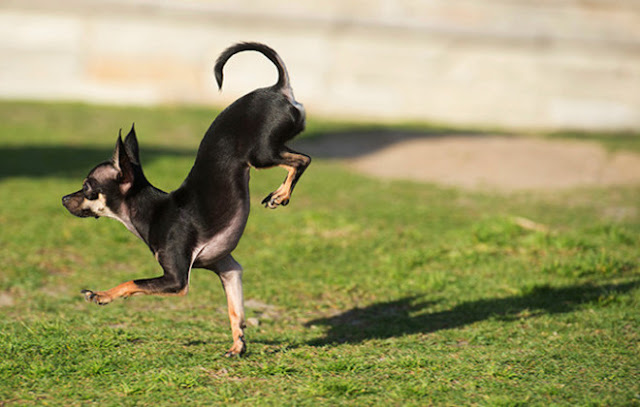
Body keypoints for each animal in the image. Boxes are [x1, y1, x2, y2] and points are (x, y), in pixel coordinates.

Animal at [62, 42, 310, 356]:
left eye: (87, 188)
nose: (63, 198)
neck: (152, 210)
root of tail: (278, 88)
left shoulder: (176, 281)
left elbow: (132, 280)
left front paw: (101, 295)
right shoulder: (228, 268)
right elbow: (235, 311)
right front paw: (238, 344)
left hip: (261, 154)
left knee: (302, 160)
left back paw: (280, 194)